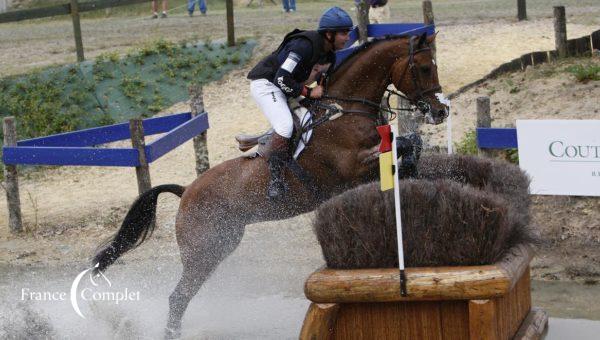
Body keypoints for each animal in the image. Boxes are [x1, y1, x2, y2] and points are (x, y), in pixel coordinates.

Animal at [94, 32, 448, 338]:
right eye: (424, 68)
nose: (441, 111)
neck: (345, 111)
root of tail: (185, 193)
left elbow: (412, 144)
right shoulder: (353, 168)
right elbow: (405, 145)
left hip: (223, 243)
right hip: (203, 251)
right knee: (178, 297)